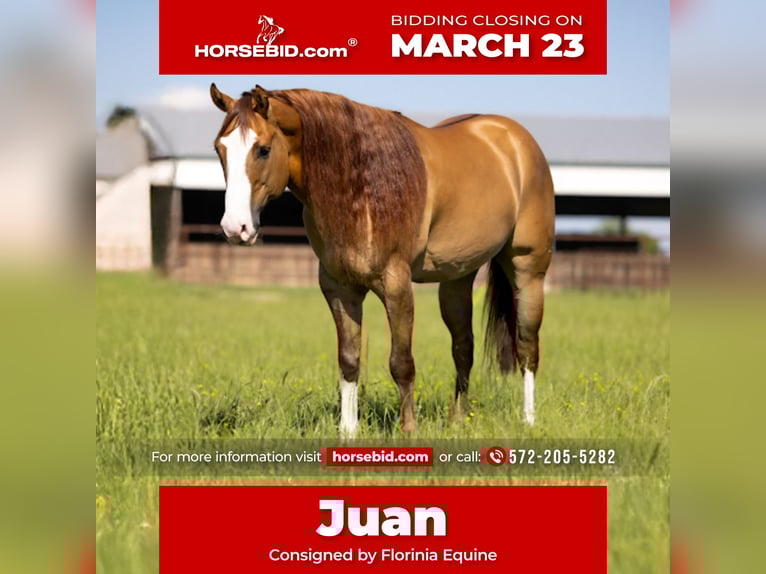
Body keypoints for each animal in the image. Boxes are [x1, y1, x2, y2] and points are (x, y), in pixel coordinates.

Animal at [209, 84, 555, 435]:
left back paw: (528, 419)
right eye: (219, 149)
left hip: (528, 270)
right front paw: (348, 431)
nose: (235, 227)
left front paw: (409, 430)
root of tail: (515, 139)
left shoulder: (396, 285)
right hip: (457, 278)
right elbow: (349, 361)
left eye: (263, 149)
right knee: (463, 348)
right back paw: (457, 420)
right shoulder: (340, 288)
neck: (362, 186)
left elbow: (401, 363)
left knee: (527, 346)